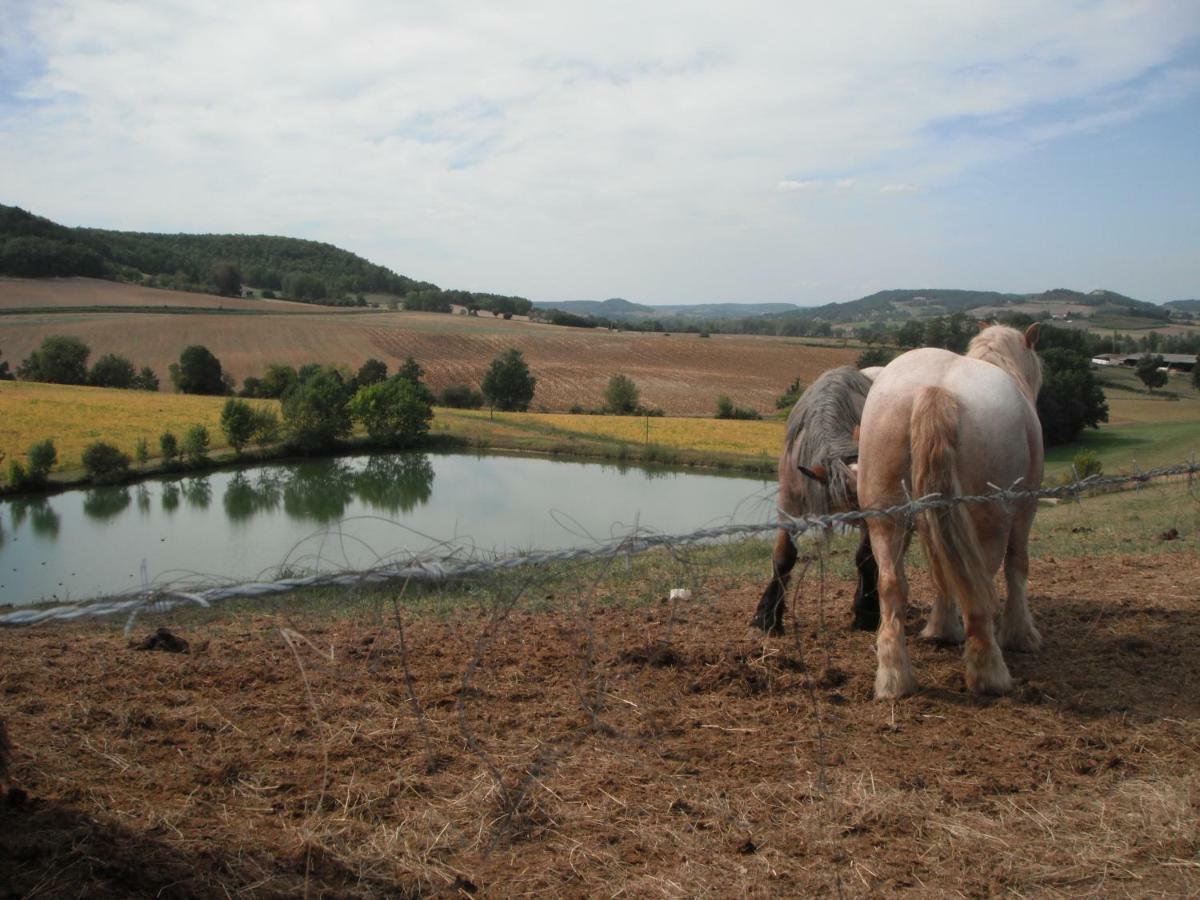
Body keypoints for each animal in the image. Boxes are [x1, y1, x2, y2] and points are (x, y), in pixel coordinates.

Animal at [854, 328, 1041, 700]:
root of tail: (935, 389)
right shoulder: (1025, 508)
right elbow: (1017, 565)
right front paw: (1020, 634)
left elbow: (940, 572)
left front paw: (941, 627)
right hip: (988, 522)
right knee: (978, 586)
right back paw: (988, 672)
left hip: (885, 516)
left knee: (892, 584)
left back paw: (894, 677)